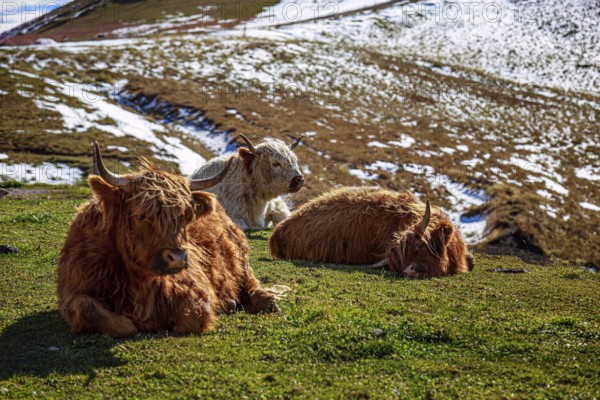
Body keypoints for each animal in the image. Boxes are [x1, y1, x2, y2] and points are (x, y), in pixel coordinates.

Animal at [58, 141, 278, 338]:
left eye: (187, 216)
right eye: (141, 215)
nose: (177, 258)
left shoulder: (194, 289)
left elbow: (192, 317)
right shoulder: (74, 289)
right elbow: (106, 318)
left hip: (240, 257)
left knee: (251, 281)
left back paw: (266, 302)